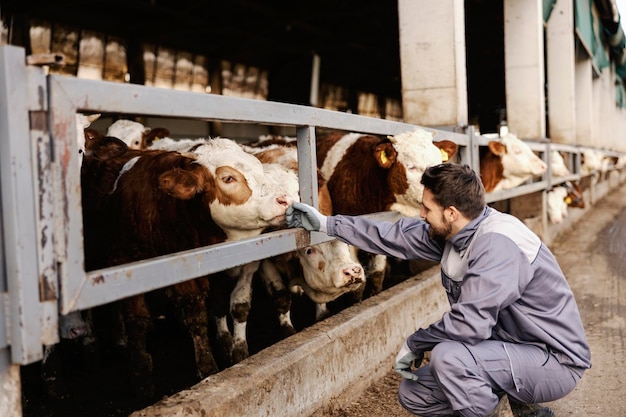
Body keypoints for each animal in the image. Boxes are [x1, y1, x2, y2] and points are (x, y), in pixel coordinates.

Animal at [81, 136, 294, 396]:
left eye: (259, 168)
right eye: (228, 178)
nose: (284, 200)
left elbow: (215, 310)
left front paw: (222, 357)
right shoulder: (126, 264)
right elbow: (141, 321)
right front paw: (142, 376)